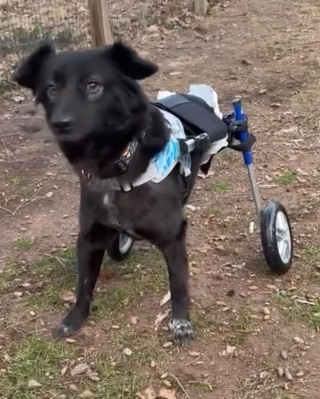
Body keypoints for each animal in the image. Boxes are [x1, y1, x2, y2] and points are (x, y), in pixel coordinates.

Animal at [15, 43, 205, 344]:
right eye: (51, 88)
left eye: (93, 85)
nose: (60, 124)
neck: (116, 166)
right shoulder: (89, 237)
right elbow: (84, 284)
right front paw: (74, 320)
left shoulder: (172, 236)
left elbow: (178, 284)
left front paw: (181, 324)